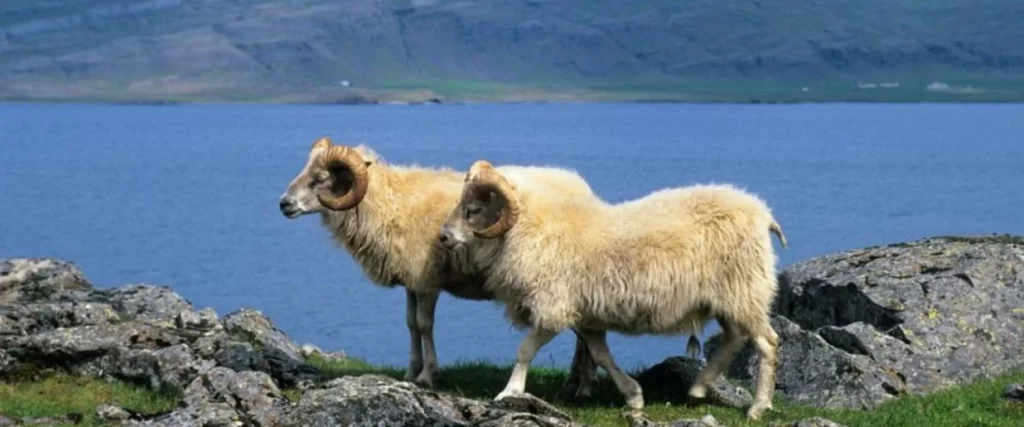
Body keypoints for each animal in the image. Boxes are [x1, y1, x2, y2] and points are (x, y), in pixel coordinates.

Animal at [277, 137, 600, 390]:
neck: (390, 204)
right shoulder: (411, 281)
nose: (284, 204)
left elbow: (424, 324)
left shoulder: (427, 280)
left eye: (320, 178)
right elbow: (410, 324)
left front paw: (428, 375)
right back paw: (578, 381)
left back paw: (583, 385)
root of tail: (583, 187)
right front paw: (411, 371)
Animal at [437, 160, 788, 420]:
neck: (532, 228)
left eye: (472, 209)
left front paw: (510, 391)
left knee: (767, 343)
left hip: (745, 289)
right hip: (730, 297)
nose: (442, 237)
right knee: (734, 338)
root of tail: (762, 212)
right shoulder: (586, 317)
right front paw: (633, 395)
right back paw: (699, 388)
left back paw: (758, 407)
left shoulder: (553, 308)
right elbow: (602, 356)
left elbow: (525, 351)